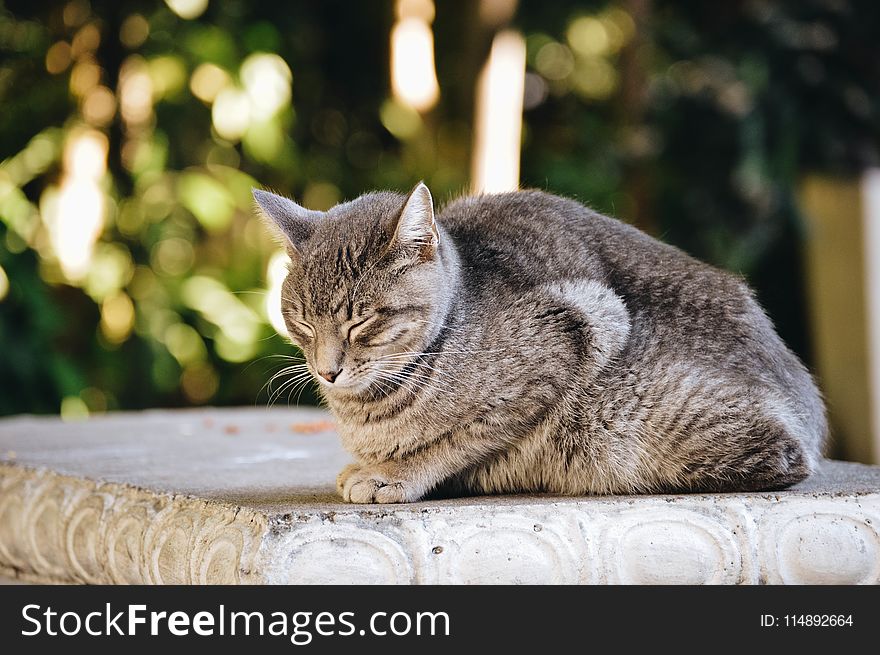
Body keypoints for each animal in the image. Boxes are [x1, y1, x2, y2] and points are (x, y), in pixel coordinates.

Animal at [253, 182, 824, 504]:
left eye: (361, 322)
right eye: (301, 322)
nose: (326, 370)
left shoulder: (577, 330)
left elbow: (461, 438)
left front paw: (397, 474)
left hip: (631, 427)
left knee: (784, 461)